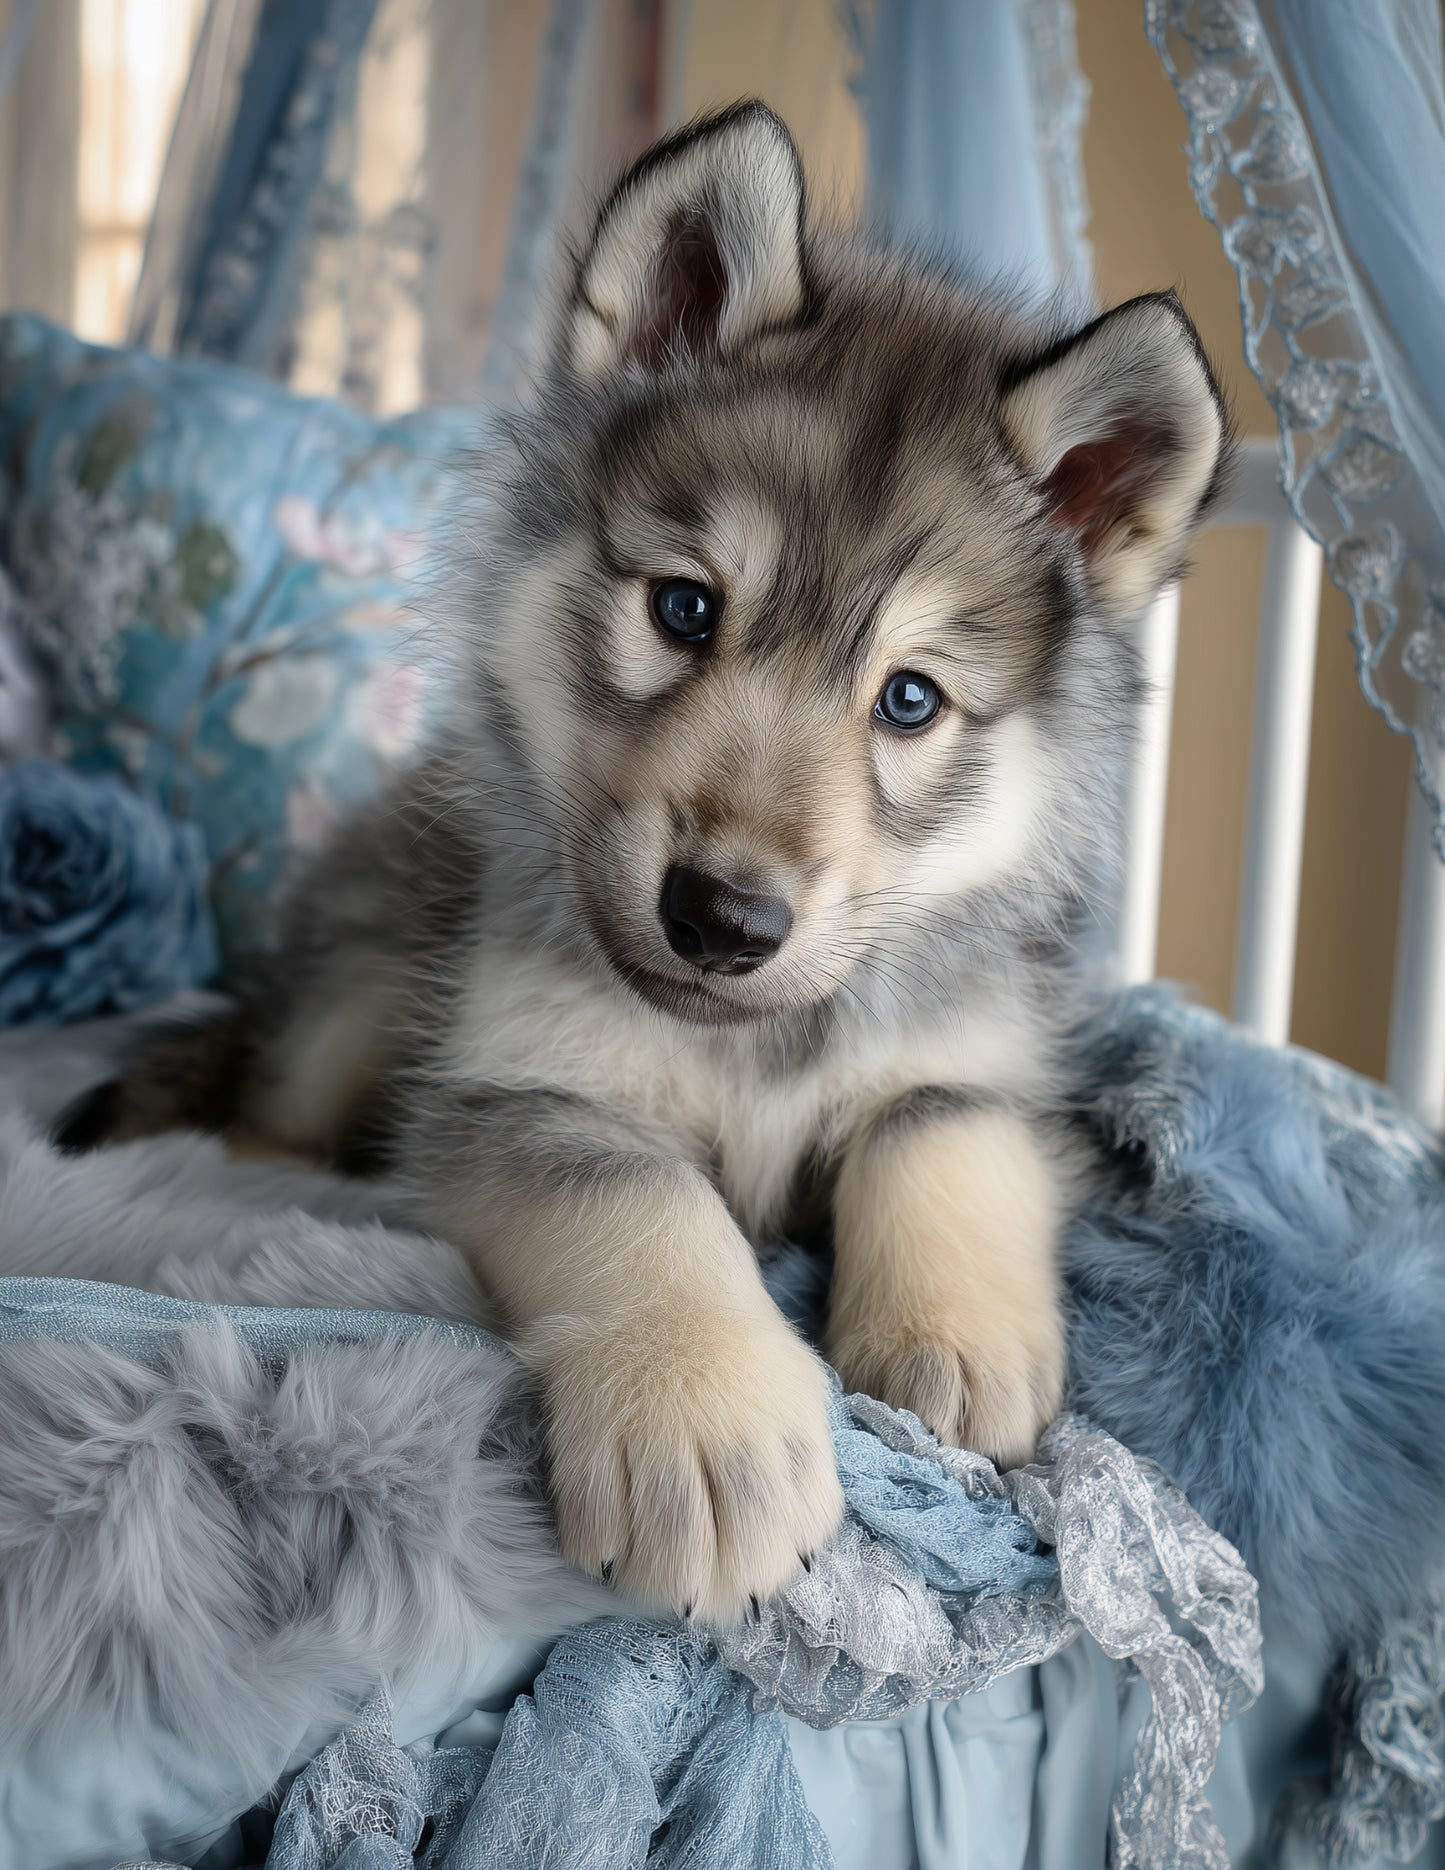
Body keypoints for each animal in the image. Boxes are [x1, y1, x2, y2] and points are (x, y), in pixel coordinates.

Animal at [60, 103, 1229, 1623]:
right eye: (682, 610)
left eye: (910, 699)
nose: (722, 916)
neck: (749, 1046)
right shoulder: (518, 1091)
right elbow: (643, 1197)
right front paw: (704, 1416)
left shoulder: (991, 1062)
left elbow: (933, 1127)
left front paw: (956, 1332)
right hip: (366, 980)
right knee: (275, 1095)